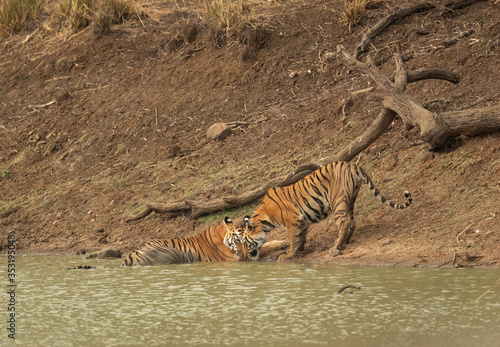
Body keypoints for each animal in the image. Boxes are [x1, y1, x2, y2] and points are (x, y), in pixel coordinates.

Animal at [120, 218, 286, 266]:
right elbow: (264, 248)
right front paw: (282, 242)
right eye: (237, 240)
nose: (243, 256)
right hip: (174, 253)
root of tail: (129, 256)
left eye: (246, 241)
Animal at [232, 162, 412, 262]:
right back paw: (344, 242)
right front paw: (300, 249)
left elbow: (293, 239)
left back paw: (336, 247)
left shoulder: (292, 221)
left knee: (344, 222)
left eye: (245, 243)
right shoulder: (302, 221)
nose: (243, 257)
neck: (265, 217)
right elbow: (301, 237)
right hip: (350, 200)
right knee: (352, 221)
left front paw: (288, 255)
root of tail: (353, 165)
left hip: (337, 201)